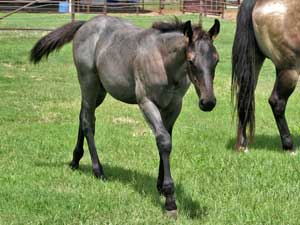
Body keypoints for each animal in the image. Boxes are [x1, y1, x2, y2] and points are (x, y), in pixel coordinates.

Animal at [232, 0, 300, 153]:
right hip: (289, 70)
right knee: (277, 102)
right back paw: (289, 146)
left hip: (254, 60)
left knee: (244, 96)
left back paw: (242, 145)